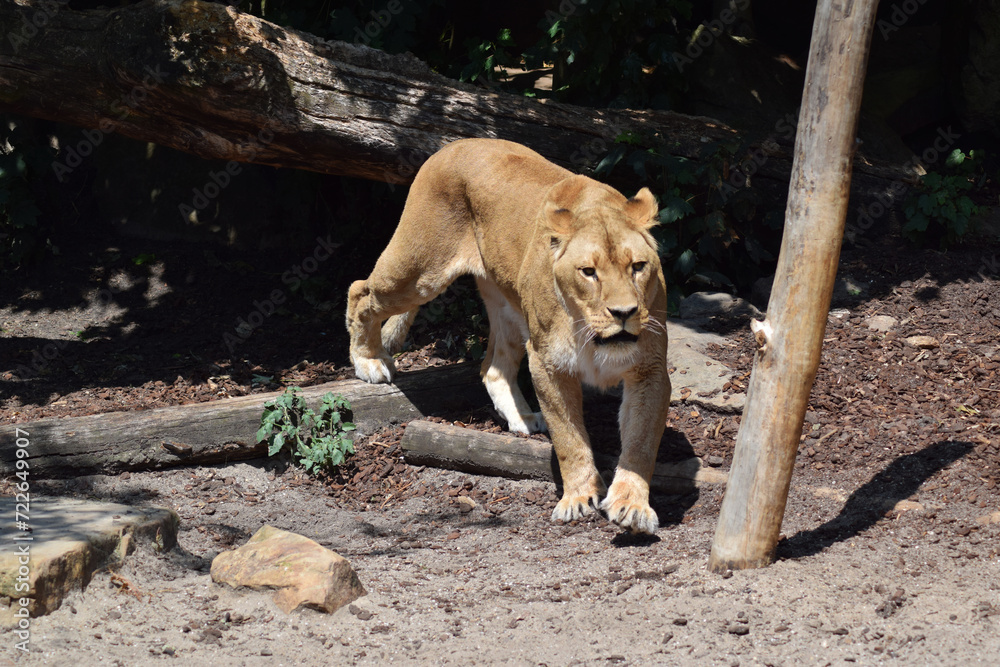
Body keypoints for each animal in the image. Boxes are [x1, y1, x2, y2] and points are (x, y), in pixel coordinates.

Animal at [346, 138, 670, 534]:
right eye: (588, 272)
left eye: (638, 266)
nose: (624, 313)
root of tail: (455, 143)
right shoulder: (548, 364)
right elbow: (569, 438)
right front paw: (578, 498)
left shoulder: (649, 371)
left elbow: (640, 442)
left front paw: (632, 505)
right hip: (418, 271)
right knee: (361, 291)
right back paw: (369, 361)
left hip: (509, 308)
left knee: (492, 367)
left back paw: (523, 418)